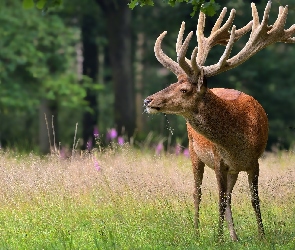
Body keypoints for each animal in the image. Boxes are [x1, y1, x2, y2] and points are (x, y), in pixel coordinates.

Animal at [143, 0, 295, 241]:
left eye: (184, 89)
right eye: (174, 82)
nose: (148, 100)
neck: (237, 144)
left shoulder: (254, 161)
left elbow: (254, 199)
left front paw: (262, 236)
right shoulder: (218, 160)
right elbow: (220, 200)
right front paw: (218, 238)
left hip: (231, 169)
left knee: (228, 196)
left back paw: (234, 236)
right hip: (194, 151)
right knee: (197, 192)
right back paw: (197, 233)